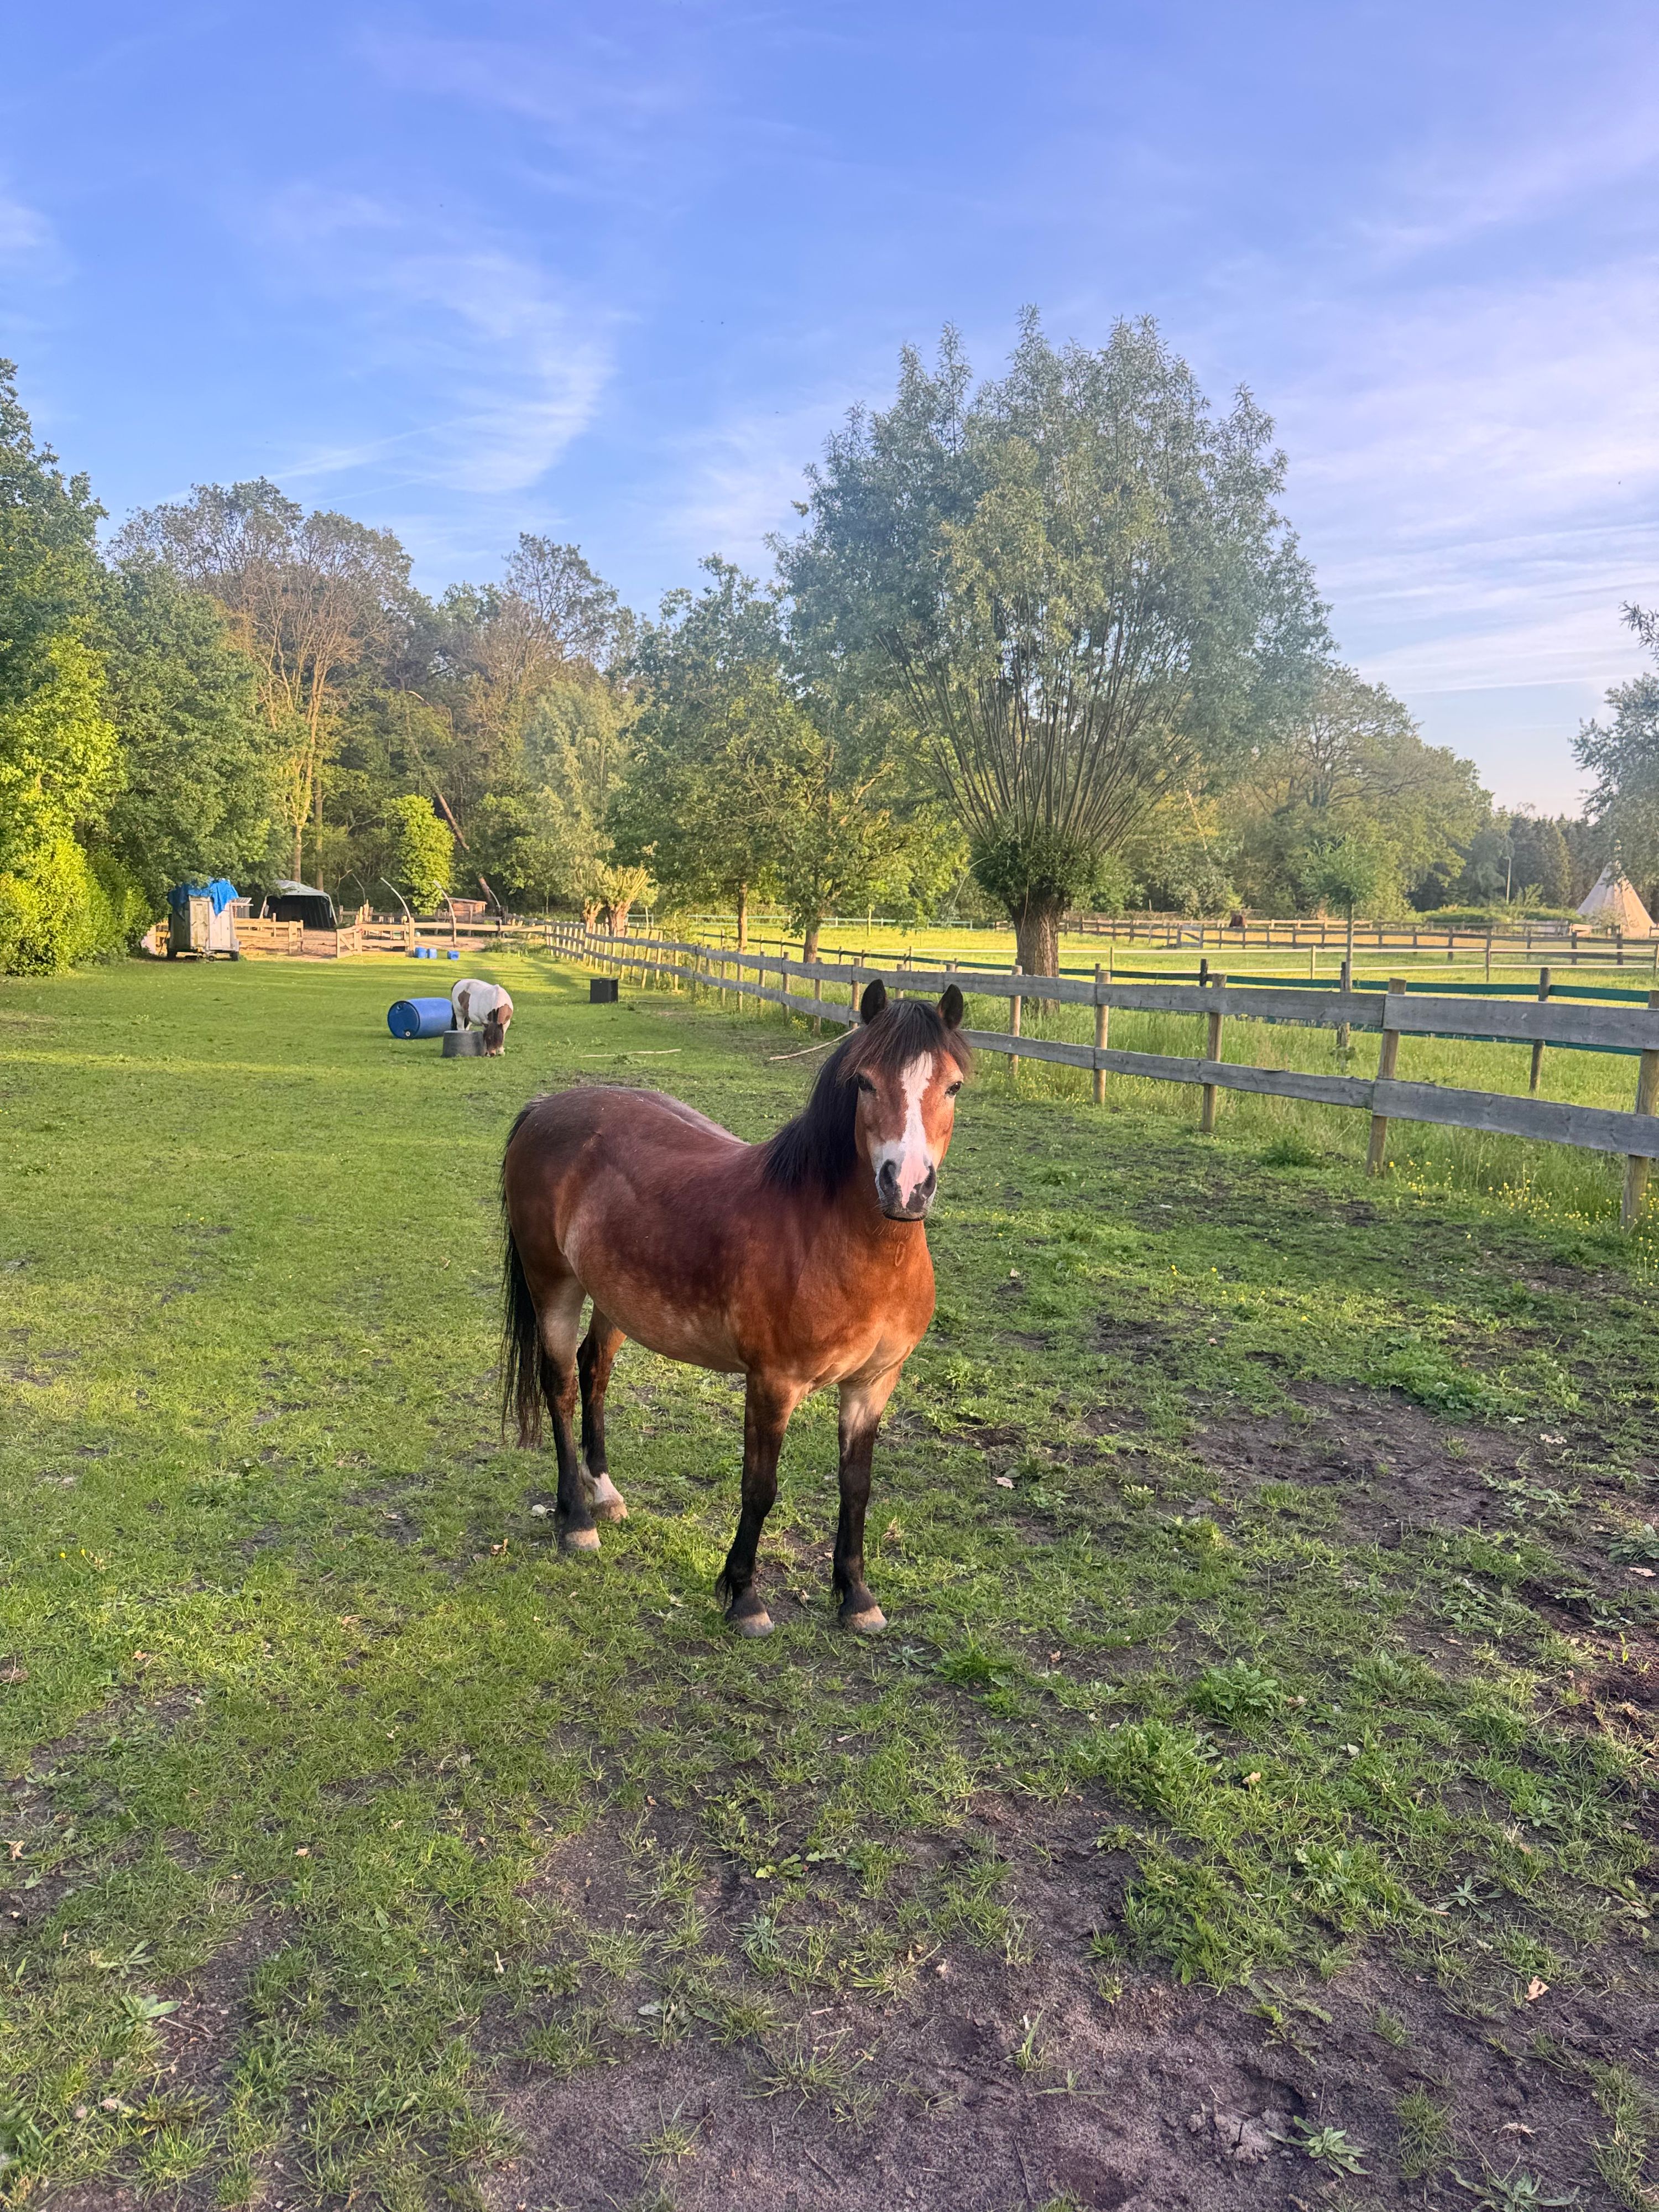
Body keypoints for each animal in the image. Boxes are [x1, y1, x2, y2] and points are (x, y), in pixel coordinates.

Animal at [451, 978, 514, 1055]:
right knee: (460, 1027)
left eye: (497, 1040)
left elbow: (503, 1035)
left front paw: (501, 1052)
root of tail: (459, 982)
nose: (492, 1054)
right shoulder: (485, 1023)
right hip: (459, 1013)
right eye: (489, 1038)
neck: (497, 998)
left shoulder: (506, 1023)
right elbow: (484, 1035)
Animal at [499, 979, 969, 1635]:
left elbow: (857, 1486)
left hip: (615, 1300)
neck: (832, 1239)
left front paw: (856, 1595)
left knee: (595, 1373)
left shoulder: (874, 1384)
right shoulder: (772, 1383)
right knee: (561, 1385)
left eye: (952, 1086)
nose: (906, 1188)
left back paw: (605, 1493)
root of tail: (544, 1109)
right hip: (555, 1287)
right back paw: (576, 1519)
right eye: (865, 1082)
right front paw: (744, 1596)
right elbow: (759, 1487)